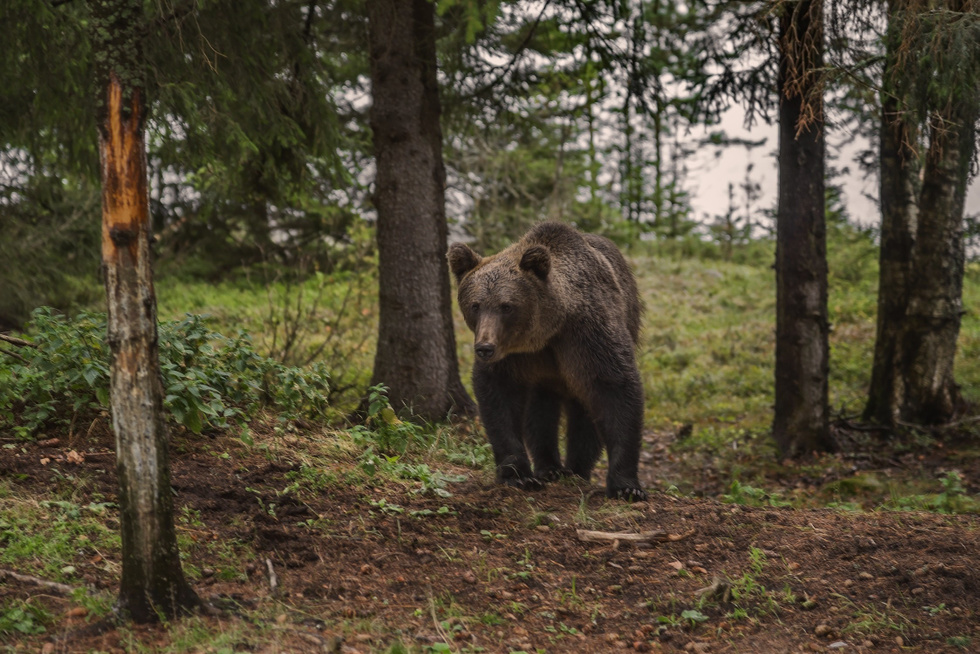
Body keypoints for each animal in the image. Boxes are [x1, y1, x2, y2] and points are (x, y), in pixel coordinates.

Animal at [448, 222, 648, 502]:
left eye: (506, 306)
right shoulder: (514, 358)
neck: (546, 332)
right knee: (540, 412)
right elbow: (499, 400)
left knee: (583, 412)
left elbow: (615, 387)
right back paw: (549, 468)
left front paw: (626, 485)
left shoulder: (588, 336)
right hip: (543, 379)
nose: (484, 348)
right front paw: (518, 475)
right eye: (475, 305)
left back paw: (575, 469)